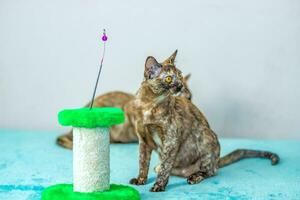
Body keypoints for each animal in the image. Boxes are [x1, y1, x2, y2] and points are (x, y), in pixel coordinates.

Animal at [129, 54, 282, 191]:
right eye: (168, 78)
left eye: (180, 75)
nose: (180, 85)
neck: (149, 105)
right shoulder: (143, 140)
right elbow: (143, 162)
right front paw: (141, 180)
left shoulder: (171, 139)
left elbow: (166, 165)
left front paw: (159, 185)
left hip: (206, 136)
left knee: (210, 171)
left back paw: (195, 176)